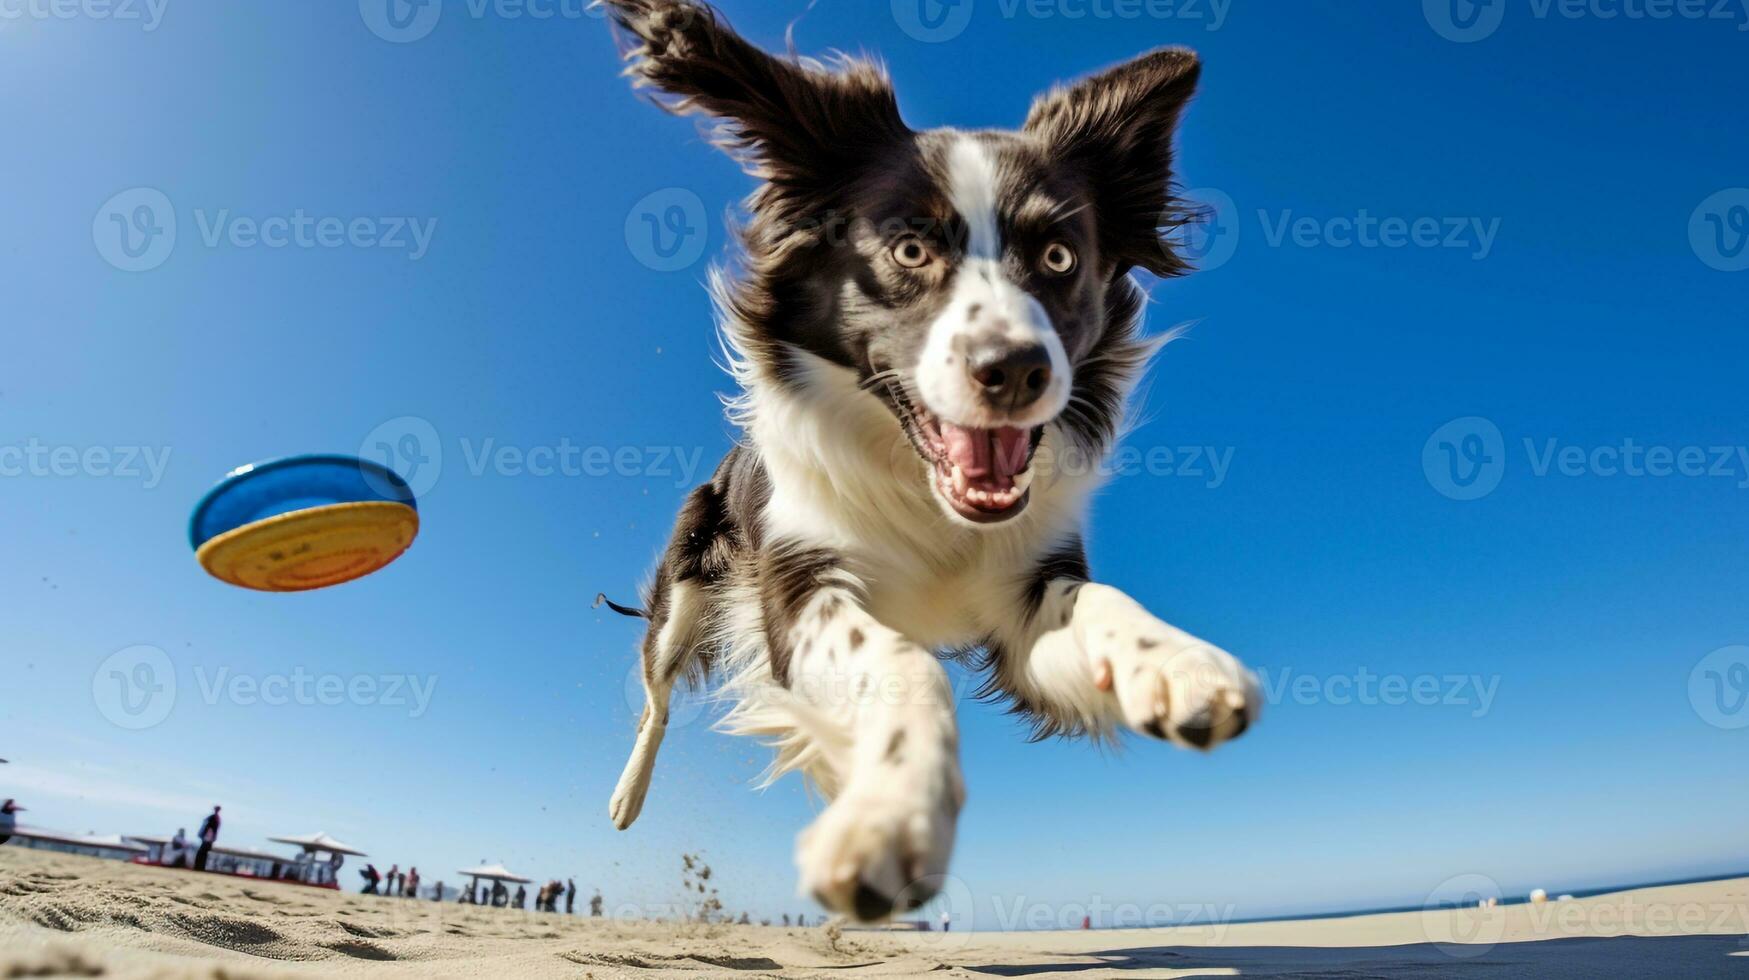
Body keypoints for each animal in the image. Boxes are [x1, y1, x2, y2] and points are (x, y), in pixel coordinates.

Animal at [601, 0, 1259, 917]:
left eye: (1059, 257)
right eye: (909, 250)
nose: (1015, 369)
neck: (927, 498)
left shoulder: (1026, 597)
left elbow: (1100, 603)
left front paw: (1176, 662)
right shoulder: (797, 587)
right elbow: (906, 664)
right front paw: (888, 817)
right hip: (689, 581)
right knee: (655, 695)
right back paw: (627, 797)